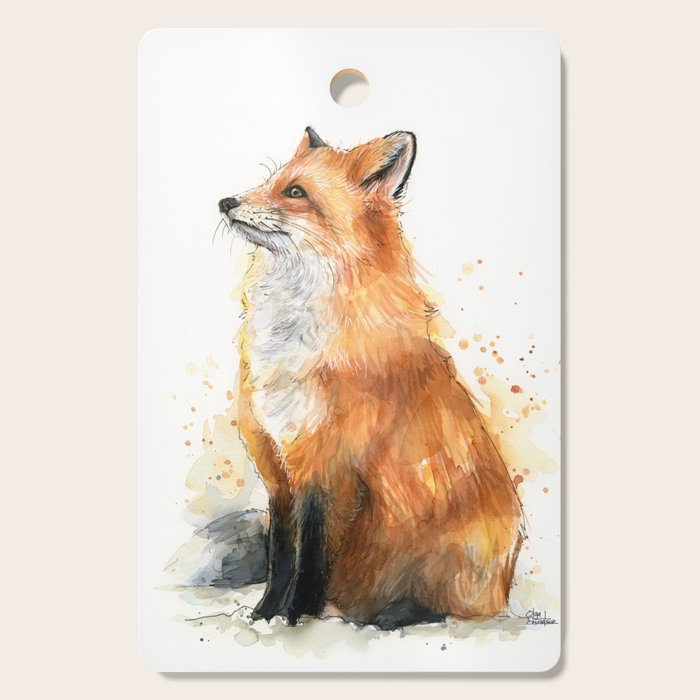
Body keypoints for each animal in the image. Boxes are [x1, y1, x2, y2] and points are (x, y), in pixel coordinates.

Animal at [218, 127, 523, 630]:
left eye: (295, 192)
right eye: (271, 182)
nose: (225, 201)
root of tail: (502, 592)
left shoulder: (330, 469)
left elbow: (311, 558)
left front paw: (296, 619)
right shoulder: (277, 469)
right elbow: (281, 557)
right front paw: (265, 617)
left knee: (446, 610)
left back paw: (393, 616)